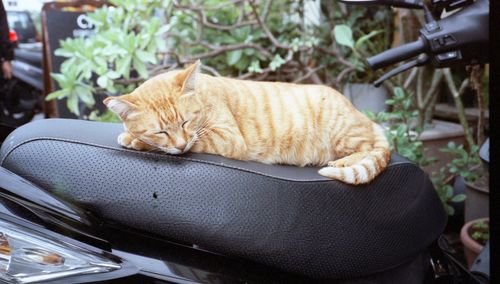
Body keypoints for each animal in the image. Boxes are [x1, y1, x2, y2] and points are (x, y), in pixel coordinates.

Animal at [102, 59, 390, 184]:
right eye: (161, 131)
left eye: (185, 123)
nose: (181, 145)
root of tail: (366, 118)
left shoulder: (227, 137)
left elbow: (196, 140)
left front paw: (134, 139)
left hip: (344, 132)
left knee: (371, 149)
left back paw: (341, 161)